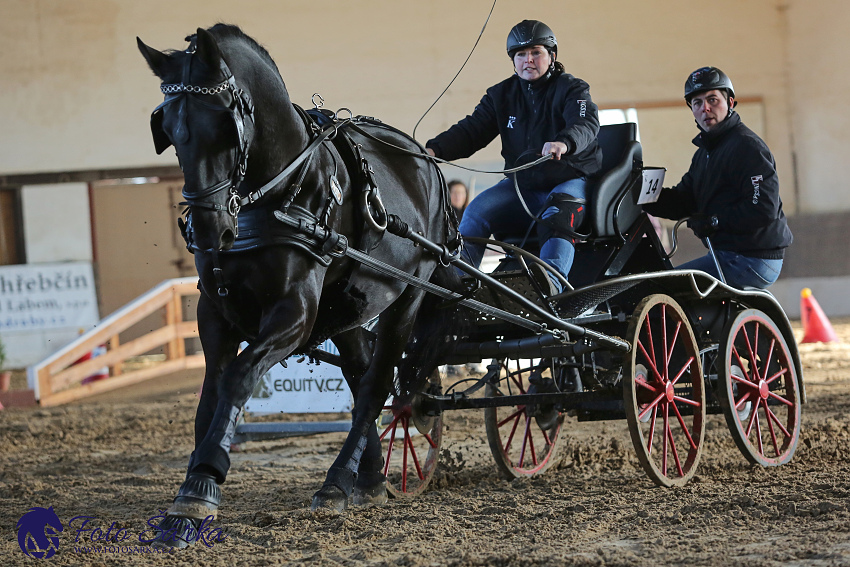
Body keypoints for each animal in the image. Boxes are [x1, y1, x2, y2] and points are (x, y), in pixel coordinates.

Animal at [138, 25, 454, 544]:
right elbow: (210, 396)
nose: (209, 231)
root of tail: (425, 163)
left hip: (408, 296)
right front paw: (188, 495)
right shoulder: (215, 313)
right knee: (360, 377)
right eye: (168, 129)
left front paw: (202, 487)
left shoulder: (295, 313)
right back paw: (367, 479)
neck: (283, 189)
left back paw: (335, 482)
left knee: (376, 386)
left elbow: (240, 377)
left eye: (225, 126)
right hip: (352, 306)